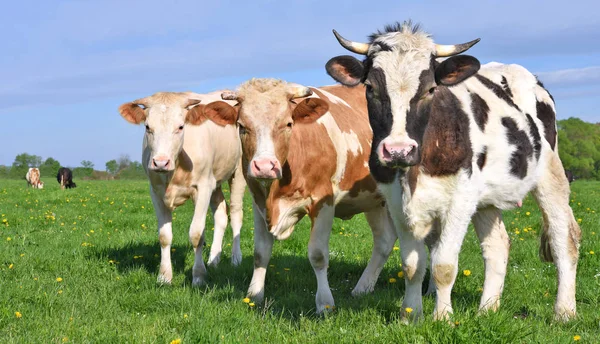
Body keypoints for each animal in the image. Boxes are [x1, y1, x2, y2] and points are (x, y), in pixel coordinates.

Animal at [118, 90, 245, 284]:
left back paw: (236, 259)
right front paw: (164, 277)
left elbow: (196, 234)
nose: (160, 162)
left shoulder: (203, 188)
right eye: (147, 127)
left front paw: (199, 276)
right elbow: (164, 236)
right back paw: (213, 260)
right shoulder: (155, 191)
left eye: (180, 127)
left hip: (238, 173)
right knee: (221, 215)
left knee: (236, 214)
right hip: (215, 180)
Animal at [206, 79, 398, 314]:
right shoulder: (259, 203)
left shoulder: (323, 201)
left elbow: (318, 254)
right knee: (384, 240)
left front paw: (325, 304)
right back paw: (362, 288)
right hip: (374, 200)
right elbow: (260, 253)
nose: (264, 166)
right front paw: (254, 295)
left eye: (288, 124)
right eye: (242, 126)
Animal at [326, 22, 580, 322]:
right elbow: (412, 265)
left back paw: (564, 311)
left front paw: (443, 318)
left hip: (551, 176)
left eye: (430, 89)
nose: (398, 150)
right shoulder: (395, 201)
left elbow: (443, 265)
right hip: (486, 197)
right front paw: (410, 315)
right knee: (498, 245)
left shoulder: (460, 200)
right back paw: (487, 309)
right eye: (370, 88)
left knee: (564, 238)